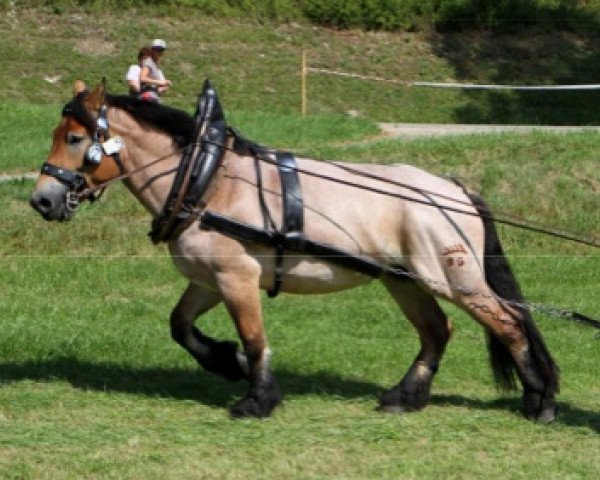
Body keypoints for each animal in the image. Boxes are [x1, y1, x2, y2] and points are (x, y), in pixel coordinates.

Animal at [30, 80, 560, 422]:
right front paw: (226, 362)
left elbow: (254, 337)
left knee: (509, 322)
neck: (209, 179)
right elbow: (180, 326)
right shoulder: (208, 280)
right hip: (404, 279)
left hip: (452, 276)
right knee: (437, 330)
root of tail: (453, 188)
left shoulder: (237, 277)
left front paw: (256, 398)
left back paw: (541, 401)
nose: (42, 199)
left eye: (74, 138)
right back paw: (405, 396)